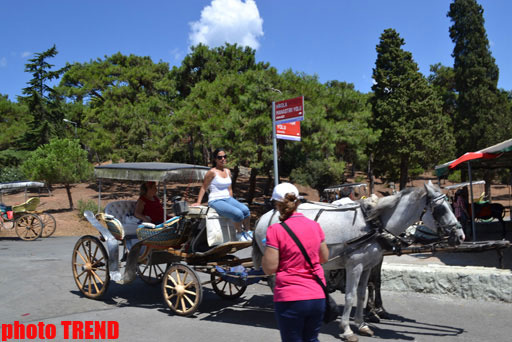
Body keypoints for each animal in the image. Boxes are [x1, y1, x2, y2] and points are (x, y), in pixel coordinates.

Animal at [252, 180, 464, 340]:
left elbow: (362, 294)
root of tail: (263, 217)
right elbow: (350, 295)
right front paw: (346, 329)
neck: (374, 225)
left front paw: (362, 324)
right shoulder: (354, 266)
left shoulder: (367, 266)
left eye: (450, 205)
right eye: (441, 209)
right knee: (274, 282)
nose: (460, 236)